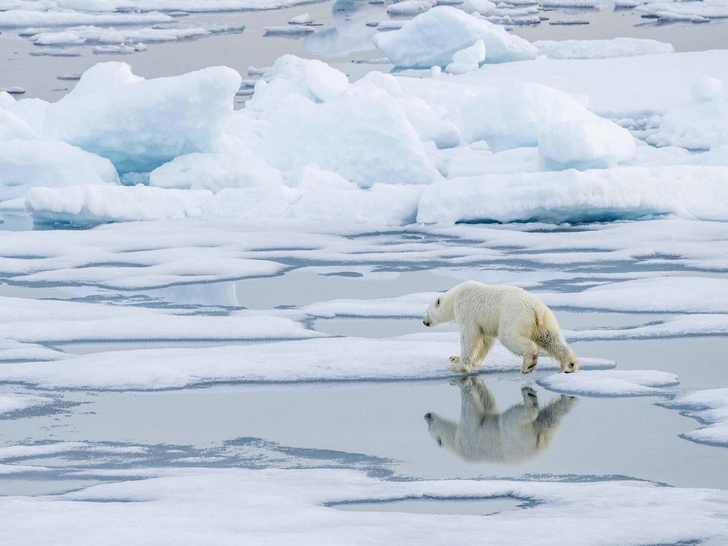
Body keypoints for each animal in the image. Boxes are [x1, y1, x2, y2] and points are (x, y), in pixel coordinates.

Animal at [424, 280, 576, 374]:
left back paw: (529, 364)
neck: (455, 296)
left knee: (509, 337)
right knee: (552, 340)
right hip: (545, 322)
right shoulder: (485, 322)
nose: (424, 322)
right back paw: (569, 365)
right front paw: (456, 358)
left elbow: (469, 337)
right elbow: (486, 340)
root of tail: (536, 309)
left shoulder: (466, 310)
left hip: (514, 317)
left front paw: (459, 365)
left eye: (427, 311)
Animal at [424, 378, 576, 464]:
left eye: (429, 428)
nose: (426, 416)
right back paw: (566, 399)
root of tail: (540, 443)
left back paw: (529, 394)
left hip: (514, 435)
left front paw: (459, 382)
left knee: (516, 415)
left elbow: (473, 410)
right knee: (550, 416)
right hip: (533, 434)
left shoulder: (465, 437)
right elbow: (486, 404)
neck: (455, 443)